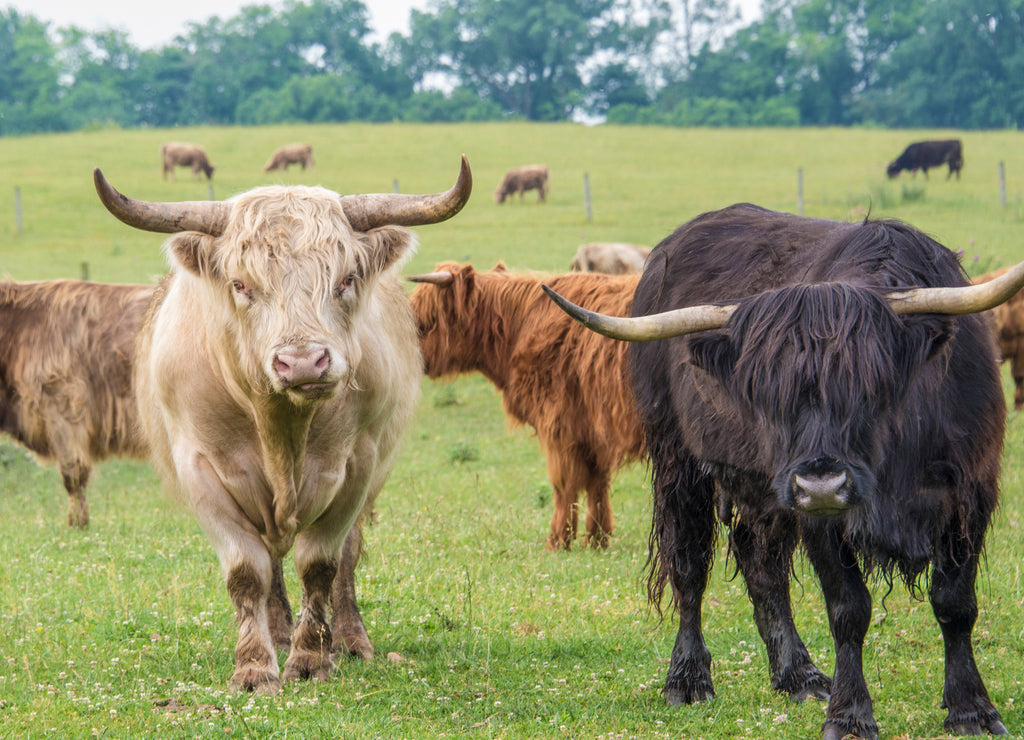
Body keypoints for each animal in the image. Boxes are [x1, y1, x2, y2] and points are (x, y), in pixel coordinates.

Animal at [92, 156, 471, 695]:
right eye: (240, 284)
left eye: (346, 279)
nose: (304, 363)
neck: (282, 429)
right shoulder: (201, 469)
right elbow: (246, 571)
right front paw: (254, 666)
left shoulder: (357, 466)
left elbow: (323, 565)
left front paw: (312, 659)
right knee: (269, 560)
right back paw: (278, 632)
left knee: (347, 560)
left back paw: (348, 639)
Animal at [405, 262, 638, 548]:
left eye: (423, 320)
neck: (519, 330)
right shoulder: (594, 433)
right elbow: (597, 485)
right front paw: (597, 540)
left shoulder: (560, 426)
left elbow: (564, 485)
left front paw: (557, 541)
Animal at [540, 202, 1019, 740]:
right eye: (766, 393)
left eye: (872, 384)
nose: (821, 483)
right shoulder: (819, 519)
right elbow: (848, 608)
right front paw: (850, 716)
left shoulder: (972, 495)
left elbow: (955, 603)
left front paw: (972, 710)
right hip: (679, 464)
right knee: (689, 567)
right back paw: (688, 679)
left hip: (762, 489)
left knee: (762, 568)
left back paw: (798, 675)